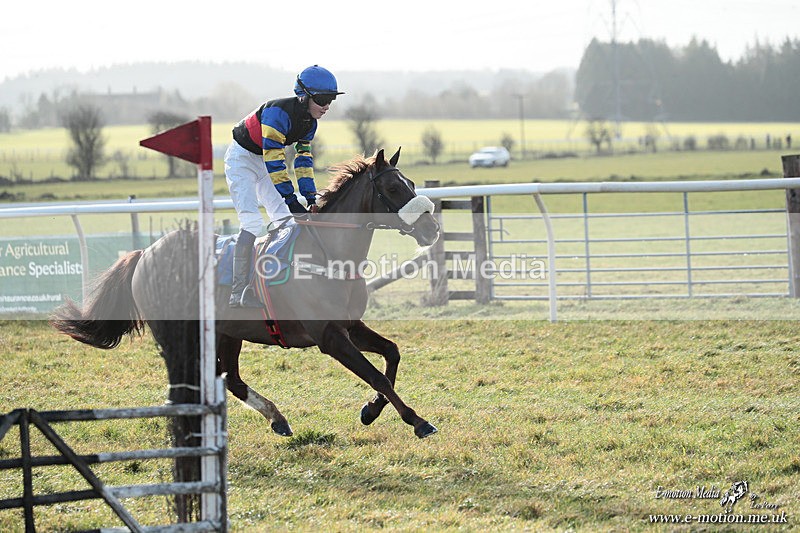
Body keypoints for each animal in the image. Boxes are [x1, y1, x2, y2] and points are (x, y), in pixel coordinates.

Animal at [51, 148, 441, 439]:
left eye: (410, 183)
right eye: (393, 188)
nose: (432, 227)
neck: (326, 252)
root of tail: (145, 253)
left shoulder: (349, 325)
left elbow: (392, 353)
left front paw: (371, 410)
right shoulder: (329, 336)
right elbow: (376, 374)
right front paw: (417, 420)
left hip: (227, 332)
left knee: (231, 380)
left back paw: (277, 418)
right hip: (177, 331)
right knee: (193, 382)